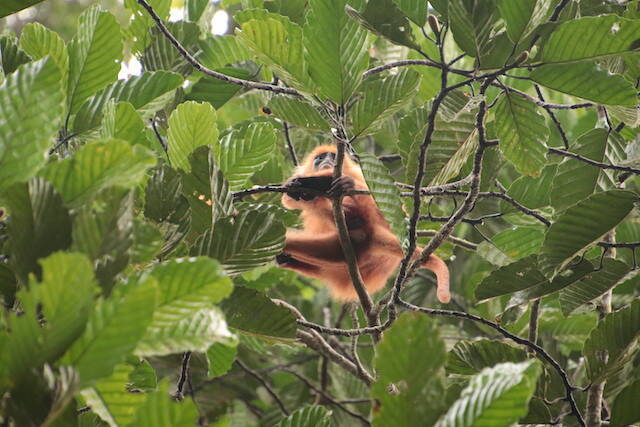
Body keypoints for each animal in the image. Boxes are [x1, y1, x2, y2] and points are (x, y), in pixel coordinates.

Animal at [276, 146, 450, 304]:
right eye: (320, 158)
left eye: (333, 156)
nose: (326, 161)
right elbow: (288, 200)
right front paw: (301, 189)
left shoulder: (358, 172)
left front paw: (311, 184)